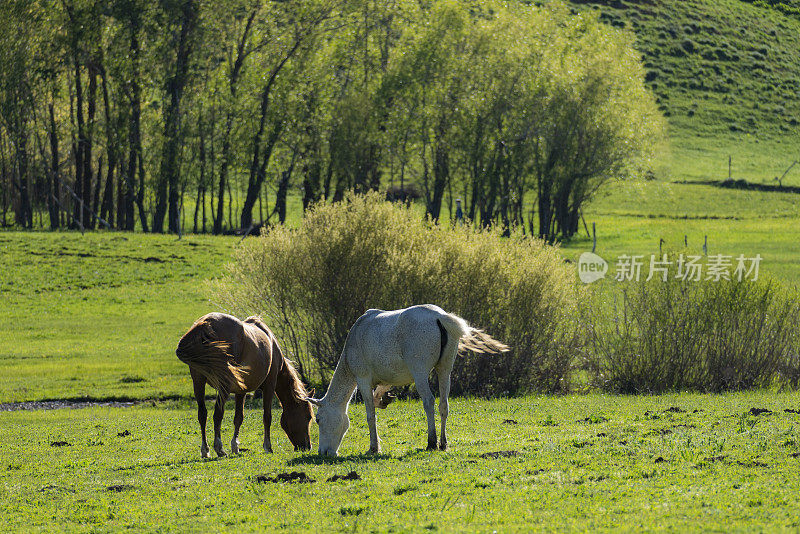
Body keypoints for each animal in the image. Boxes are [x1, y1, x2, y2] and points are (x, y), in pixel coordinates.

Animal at [177, 314, 314, 460]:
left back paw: (205, 450)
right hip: (223, 386)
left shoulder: (241, 391)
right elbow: (267, 417)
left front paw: (235, 447)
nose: (307, 446)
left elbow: (238, 418)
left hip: (198, 382)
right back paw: (219, 449)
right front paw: (268, 447)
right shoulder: (269, 386)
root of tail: (206, 324)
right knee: (217, 414)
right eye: (308, 416)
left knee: (202, 414)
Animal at [306, 306, 506, 456]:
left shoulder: (363, 380)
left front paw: (374, 447)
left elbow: (370, 415)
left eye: (318, 420)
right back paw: (443, 443)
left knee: (429, 402)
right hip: (444, 371)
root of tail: (440, 317)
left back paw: (431, 442)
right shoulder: (386, 379)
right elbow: (378, 397)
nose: (323, 452)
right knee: (443, 405)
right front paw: (384, 401)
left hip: (420, 373)